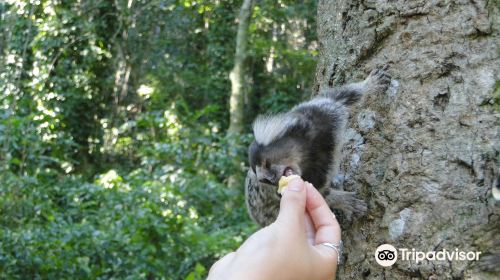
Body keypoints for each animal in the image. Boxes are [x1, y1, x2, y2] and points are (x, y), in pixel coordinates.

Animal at [244, 68, 392, 228]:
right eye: (265, 181)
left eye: (266, 164)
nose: (269, 179)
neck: (306, 151)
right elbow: (319, 194)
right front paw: (343, 201)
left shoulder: (319, 112)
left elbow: (339, 98)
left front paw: (369, 84)